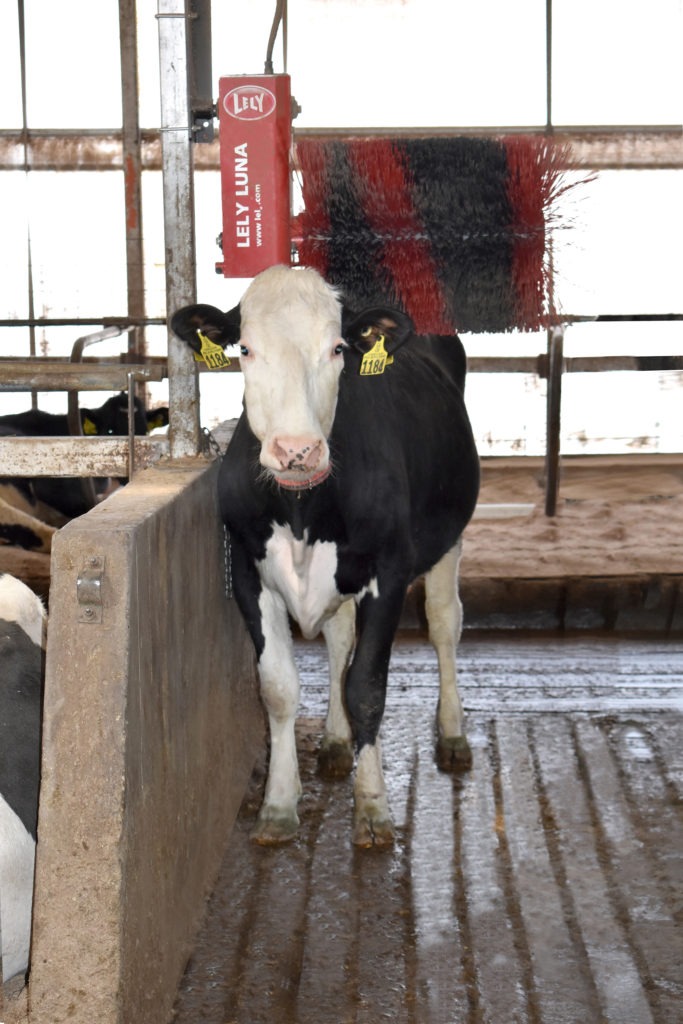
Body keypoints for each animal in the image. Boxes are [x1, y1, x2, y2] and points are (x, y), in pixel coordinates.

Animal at [171, 265, 480, 848]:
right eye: (245, 348)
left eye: (337, 348)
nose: (297, 450)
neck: (302, 510)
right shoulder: (248, 573)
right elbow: (278, 688)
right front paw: (277, 805)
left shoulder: (389, 572)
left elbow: (367, 688)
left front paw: (374, 809)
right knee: (339, 639)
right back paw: (336, 743)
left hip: (449, 537)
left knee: (444, 623)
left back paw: (452, 734)